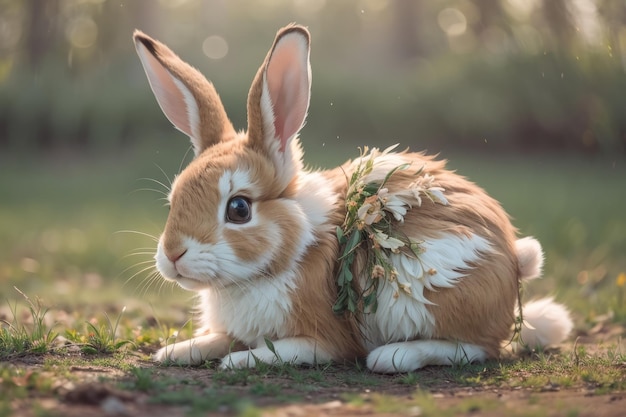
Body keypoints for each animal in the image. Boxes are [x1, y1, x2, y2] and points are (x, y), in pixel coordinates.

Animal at [133, 24, 572, 372]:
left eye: (238, 208)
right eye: (174, 198)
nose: (173, 255)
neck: (288, 253)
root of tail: (515, 264)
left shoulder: (326, 340)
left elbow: (282, 350)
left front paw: (239, 360)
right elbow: (218, 338)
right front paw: (176, 351)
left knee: (477, 347)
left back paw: (396, 356)